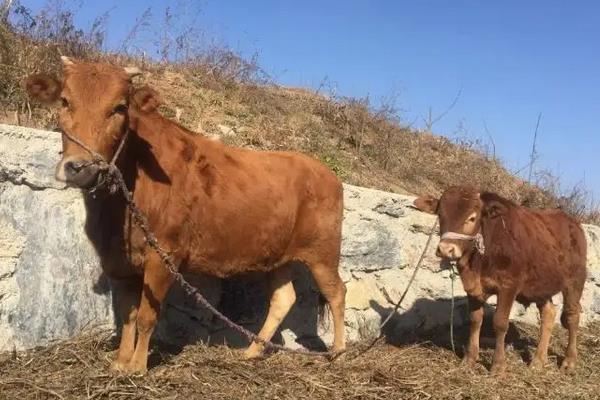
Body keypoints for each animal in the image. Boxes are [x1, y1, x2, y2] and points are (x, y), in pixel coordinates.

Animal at [25, 57, 346, 376]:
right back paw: (251, 352)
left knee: (337, 292)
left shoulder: (165, 254)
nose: (80, 168)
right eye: (65, 101)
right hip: (277, 256)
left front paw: (138, 367)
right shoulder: (119, 260)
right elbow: (128, 315)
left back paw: (338, 353)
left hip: (323, 252)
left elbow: (147, 315)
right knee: (283, 299)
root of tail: (325, 172)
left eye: (119, 108)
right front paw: (120, 361)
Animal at [412, 186, 584, 374]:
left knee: (572, 316)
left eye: (472, 218)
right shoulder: (472, 288)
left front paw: (498, 366)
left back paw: (569, 361)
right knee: (549, 314)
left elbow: (500, 323)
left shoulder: (508, 286)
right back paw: (538, 361)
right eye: (440, 214)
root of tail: (571, 221)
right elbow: (475, 320)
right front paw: (469, 359)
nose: (445, 249)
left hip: (575, 282)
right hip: (541, 285)